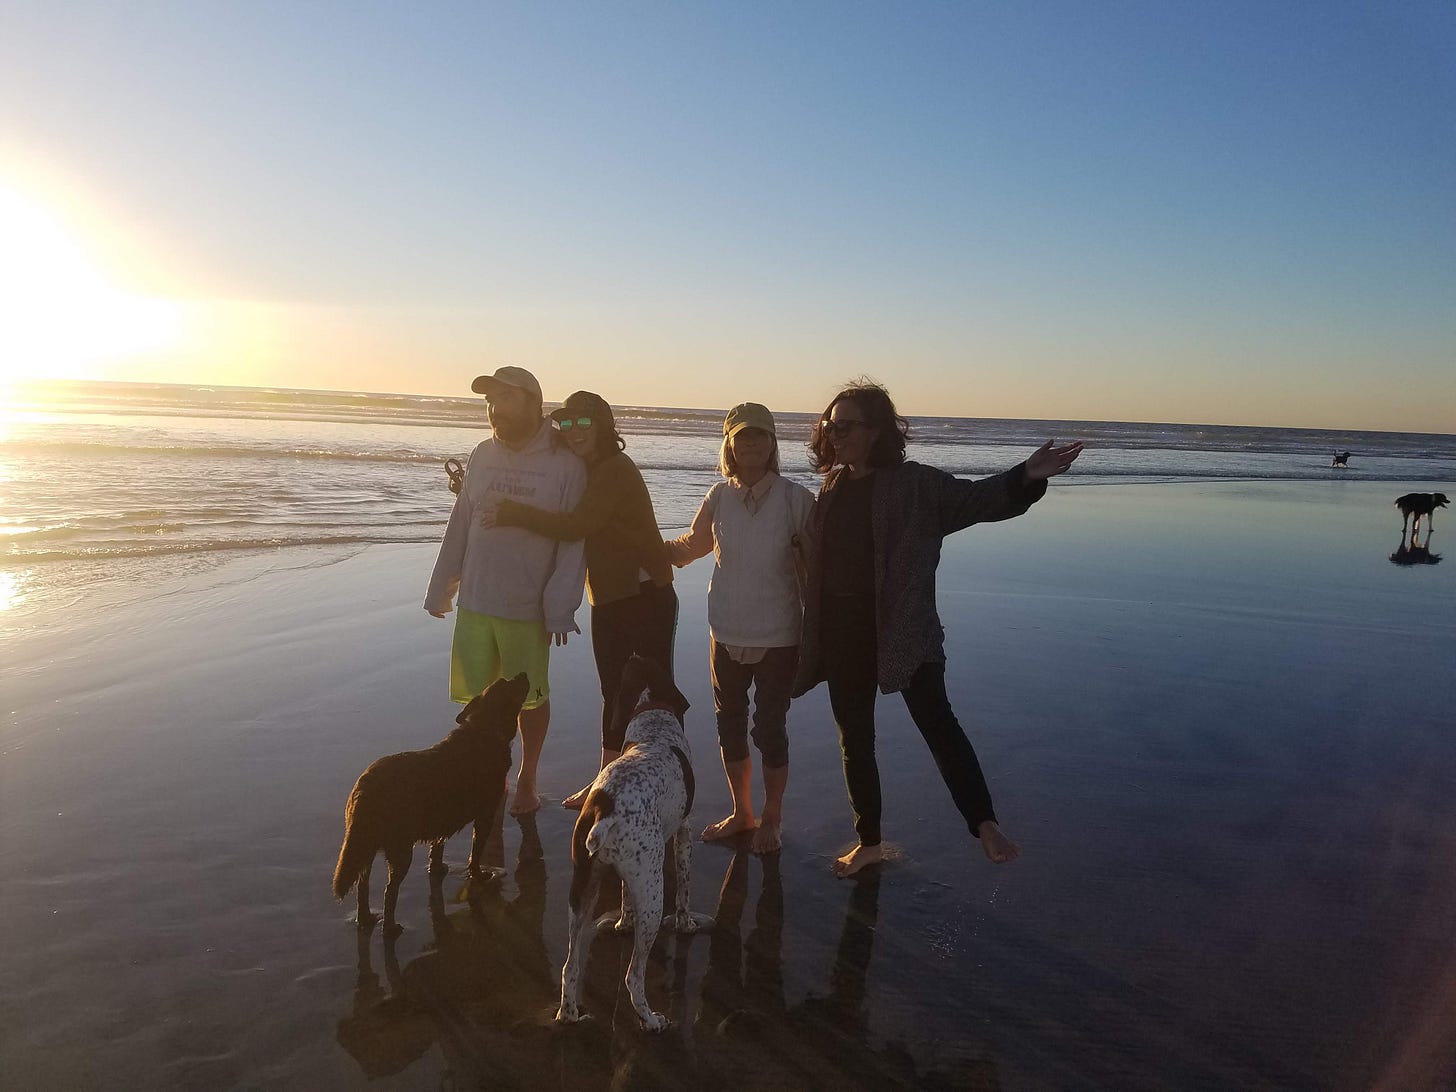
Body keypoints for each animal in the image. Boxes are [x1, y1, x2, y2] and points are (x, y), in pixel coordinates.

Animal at [333, 672, 532, 937]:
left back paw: (365, 918)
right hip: (399, 850)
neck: (485, 729)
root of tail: (363, 790)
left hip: (365, 844)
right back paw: (390, 927)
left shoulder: (441, 822)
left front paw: (438, 869)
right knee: (389, 890)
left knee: (362, 884)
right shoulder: (485, 814)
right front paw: (480, 875)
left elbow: (437, 847)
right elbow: (475, 852)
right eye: (507, 684)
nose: (524, 673)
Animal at [553, 658, 713, 1036]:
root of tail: (605, 809)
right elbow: (684, 892)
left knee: (569, 967)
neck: (652, 723)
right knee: (633, 976)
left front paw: (623, 923)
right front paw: (687, 924)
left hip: (583, 889)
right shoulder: (683, 833)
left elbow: (625, 897)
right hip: (653, 895)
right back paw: (652, 1020)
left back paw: (569, 1014)